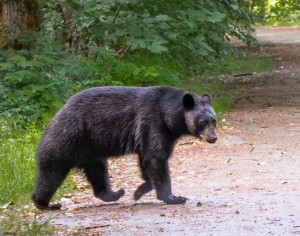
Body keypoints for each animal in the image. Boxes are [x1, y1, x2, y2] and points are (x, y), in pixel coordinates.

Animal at [31, 86, 217, 210]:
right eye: (202, 122)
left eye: (213, 120)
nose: (213, 138)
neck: (168, 116)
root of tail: (56, 114)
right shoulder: (153, 123)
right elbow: (156, 158)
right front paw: (174, 197)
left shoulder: (155, 133)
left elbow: (147, 158)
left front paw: (140, 190)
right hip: (69, 137)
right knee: (52, 171)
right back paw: (44, 203)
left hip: (89, 148)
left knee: (97, 170)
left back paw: (114, 193)